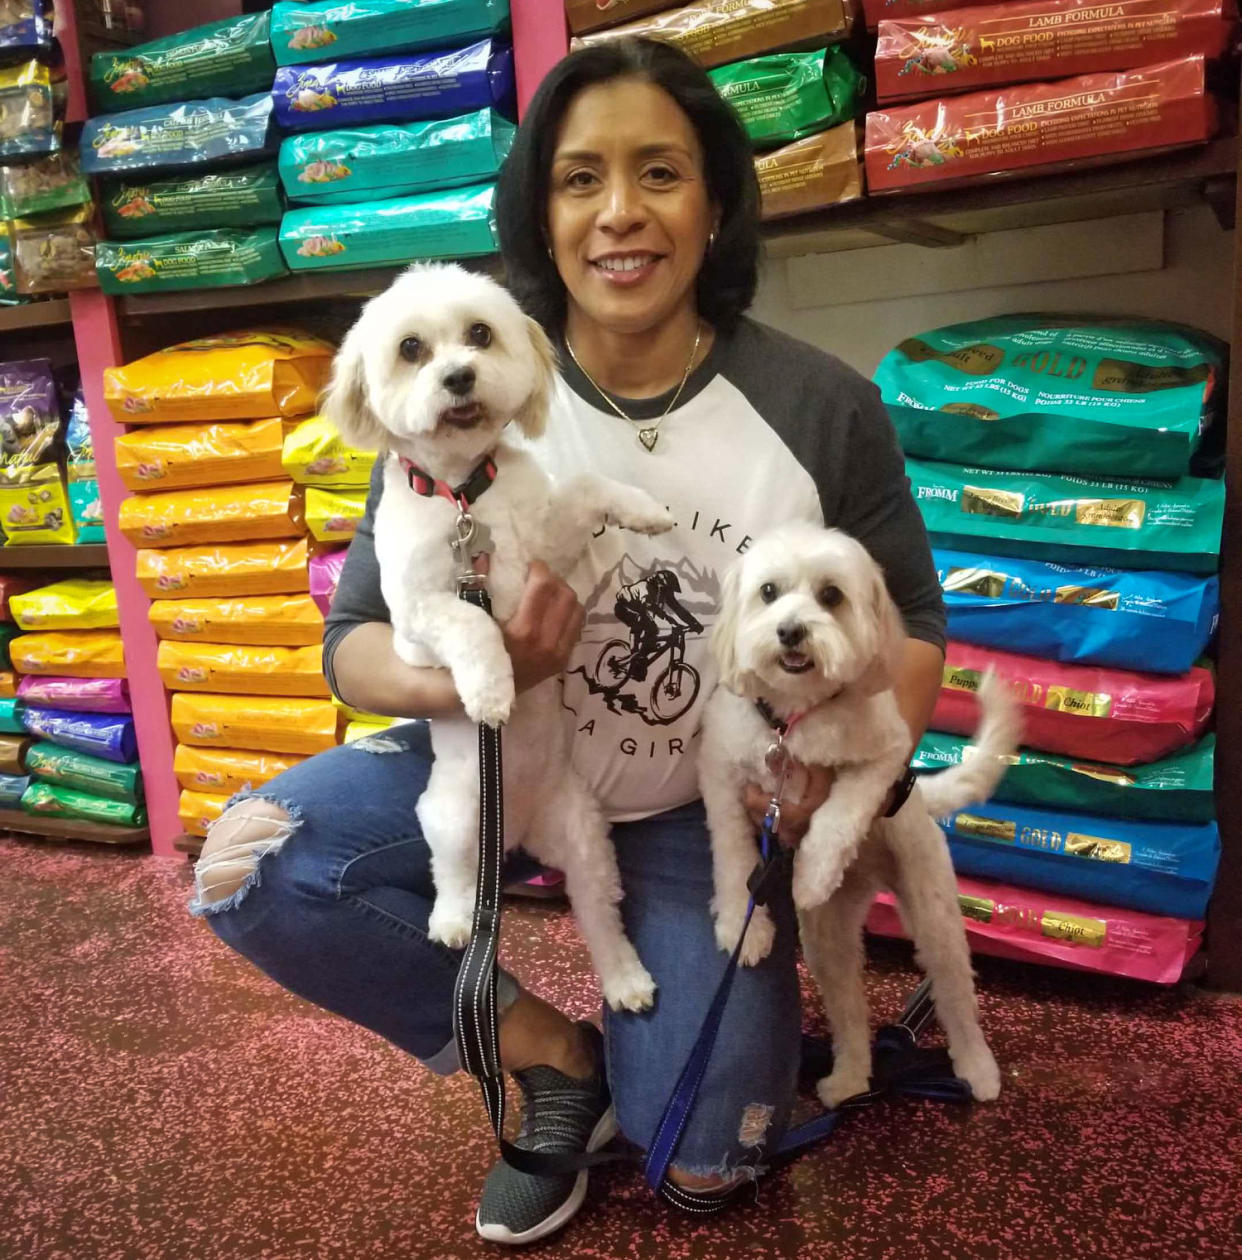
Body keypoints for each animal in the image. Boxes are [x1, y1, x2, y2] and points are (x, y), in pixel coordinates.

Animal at [319, 263, 670, 1013]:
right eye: (411, 349)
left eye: (480, 334)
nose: (458, 377)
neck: (462, 499)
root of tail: (520, 833)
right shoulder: (415, 620)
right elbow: (473, 620)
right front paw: (491, 692)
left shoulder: (547, 551)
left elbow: (588, 486)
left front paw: (646, 510)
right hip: (453, 817)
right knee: (451, 875)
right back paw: (453, 921)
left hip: (587, 841)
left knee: (602, 920)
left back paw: (625, 979)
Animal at [695, 521, 1017, 1103]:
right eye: (768, 592)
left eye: (831, 596)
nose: (791, 631)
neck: (792, 721)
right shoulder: (721, 776)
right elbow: (732, 857)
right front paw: (743, 928)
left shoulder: (883, 757)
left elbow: (839, 814)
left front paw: (813, 874)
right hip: (829, 942)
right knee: (850, 1011)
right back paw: (848, 1079)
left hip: (933, 913)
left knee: (956, 995)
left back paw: (977, 1069)